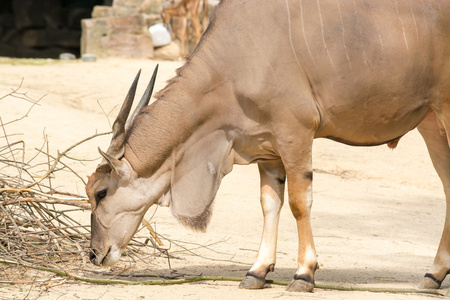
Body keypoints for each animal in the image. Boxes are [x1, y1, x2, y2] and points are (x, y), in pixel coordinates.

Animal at [86, 0, 450, 292]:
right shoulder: (268, 149)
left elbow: (300, 203)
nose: (94, 254)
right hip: (431, 125)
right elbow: (269, 203)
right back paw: (433, 274)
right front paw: (257, 271)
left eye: (101, 193)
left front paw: (304, 274)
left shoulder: (296, 134)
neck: (237, 55)